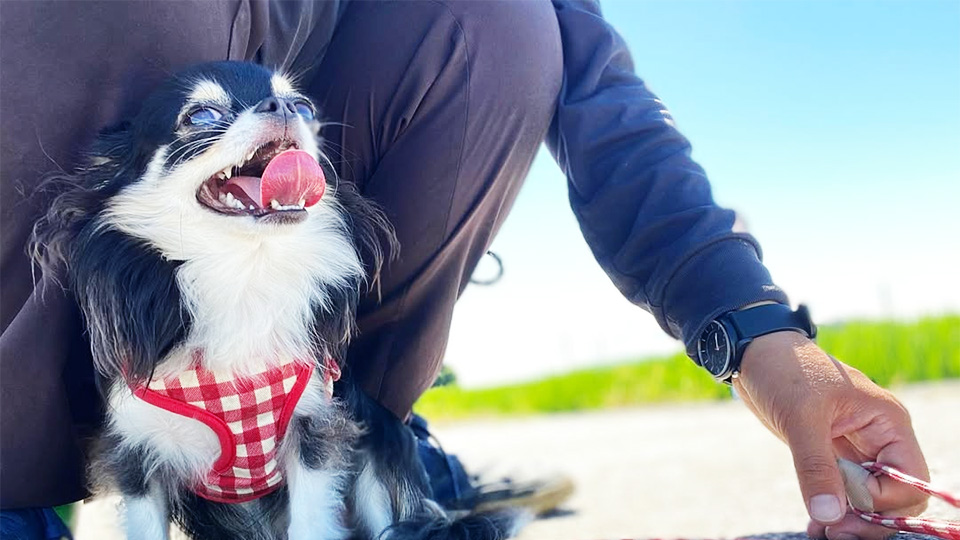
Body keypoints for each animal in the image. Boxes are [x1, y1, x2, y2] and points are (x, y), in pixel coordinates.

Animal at [31, 62, 524, 540]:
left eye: (305, 107)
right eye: (200, 116)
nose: (284, 106)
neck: (244, 273)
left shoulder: (316, 433)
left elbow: (312, 523)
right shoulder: (138, 458)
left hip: (374, 460)